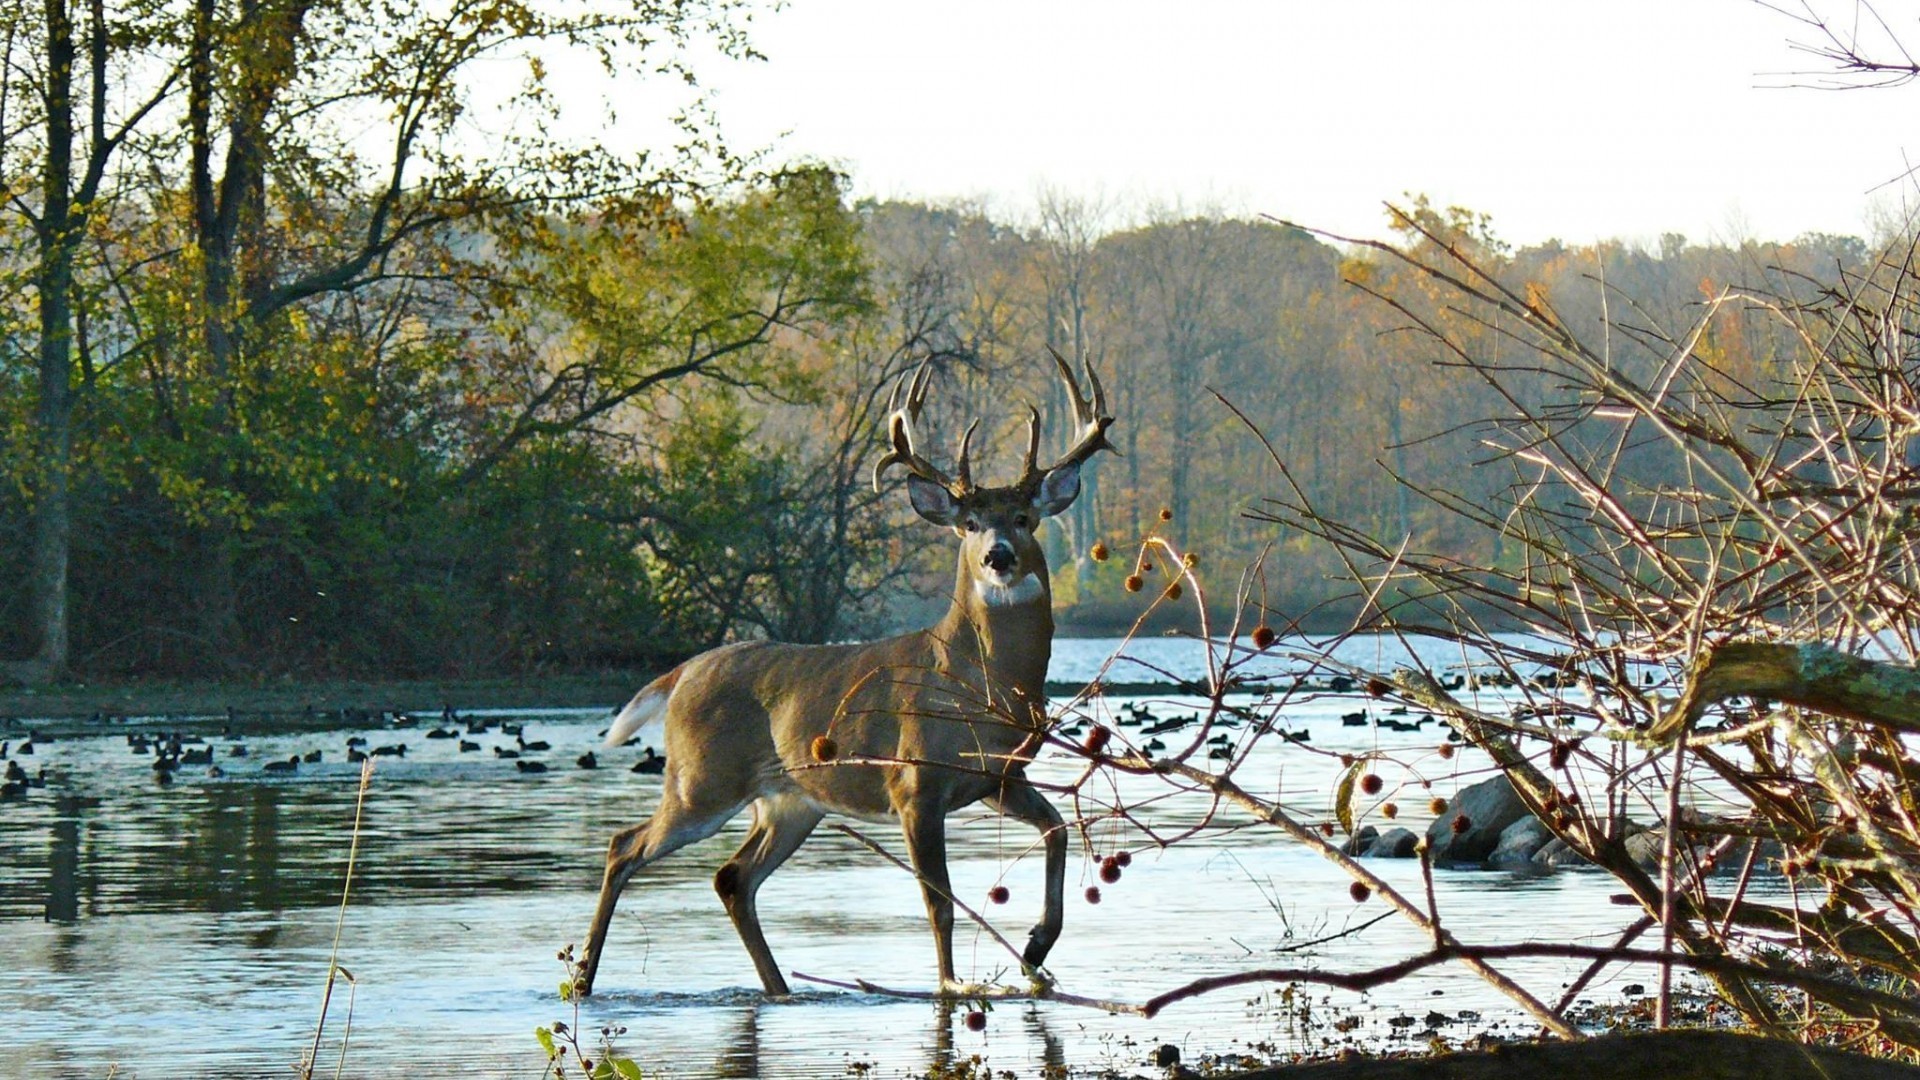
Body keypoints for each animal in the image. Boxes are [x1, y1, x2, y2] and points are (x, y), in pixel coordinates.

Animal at [576, 351, 1121, 991]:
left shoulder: (998, 778)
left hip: (790, 800)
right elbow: (938, 901)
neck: (979, 684)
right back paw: (583, 977)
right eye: (967, 524)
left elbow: (1058, 829)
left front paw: (1036, 949)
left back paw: (781, 989)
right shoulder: (914, 782)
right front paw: (951, 985)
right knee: (625, 845)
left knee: (732, 878)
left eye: (1023, 517)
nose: (998, 555)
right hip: (701, 780)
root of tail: (682, 673)